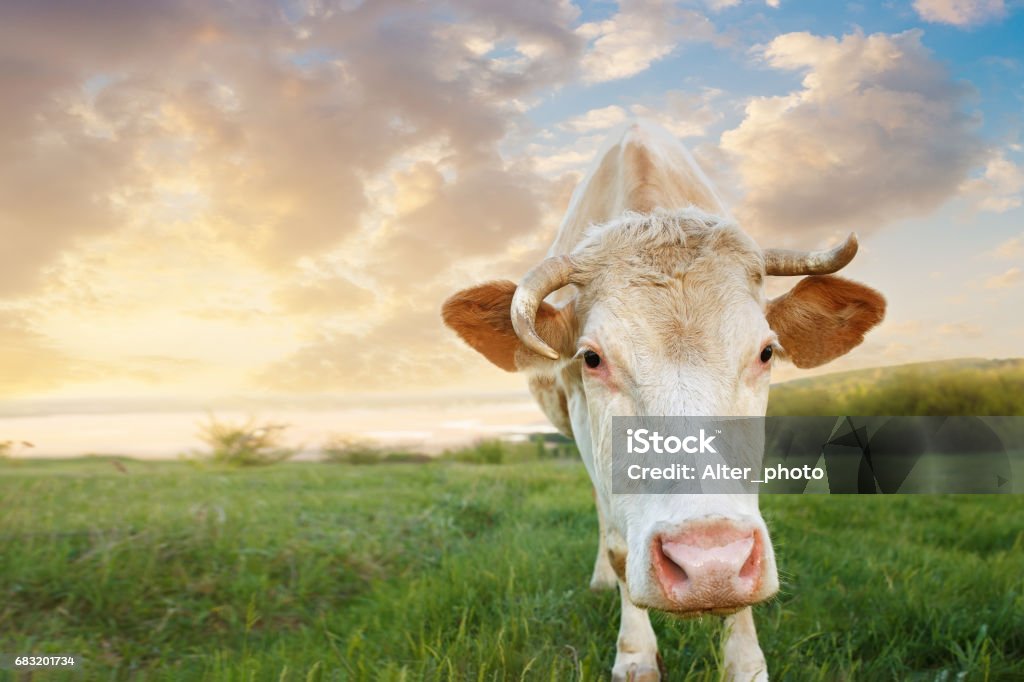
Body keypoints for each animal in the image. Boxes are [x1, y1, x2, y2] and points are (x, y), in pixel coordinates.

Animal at [436, 119, 884, 675]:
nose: (709, 561)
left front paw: (745, 662)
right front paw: (635, 656)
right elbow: (618, 550)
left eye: (766, 352)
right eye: (591, 358)